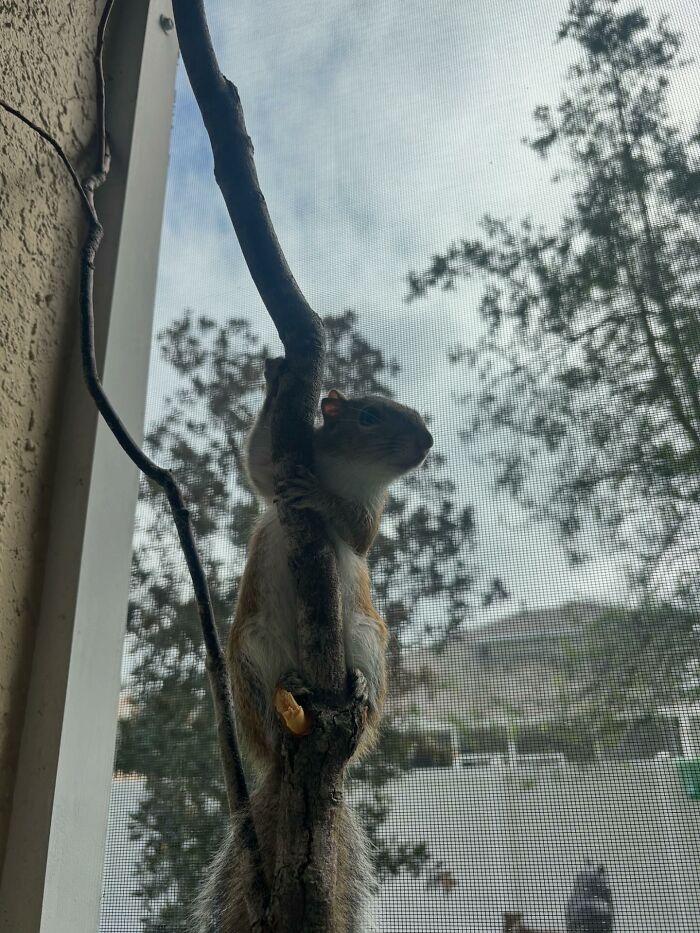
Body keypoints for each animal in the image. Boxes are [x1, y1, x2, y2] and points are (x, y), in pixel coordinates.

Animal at [194, 357, 433, 933]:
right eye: (368, 415)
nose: (427, 441)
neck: (349, 470)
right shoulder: (277, 472)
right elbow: (258, 462)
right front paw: (276, 380)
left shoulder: (370, 511)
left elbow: (359, 534)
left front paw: (323, 499)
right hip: (251, 650)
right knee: (272, 701)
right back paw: (288, 699)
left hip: (365, 638)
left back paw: (361, 689)